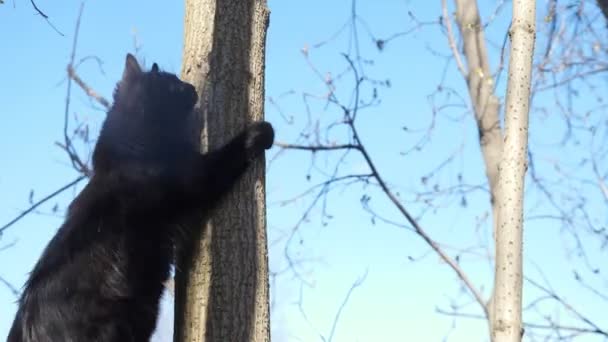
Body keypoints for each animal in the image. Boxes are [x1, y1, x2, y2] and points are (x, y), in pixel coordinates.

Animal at [8, 54, 274, 342]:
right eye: (173, 84)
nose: (191, 86)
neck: (130, 155)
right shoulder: (195, 176)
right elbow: (227, 155)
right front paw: (260, 133)